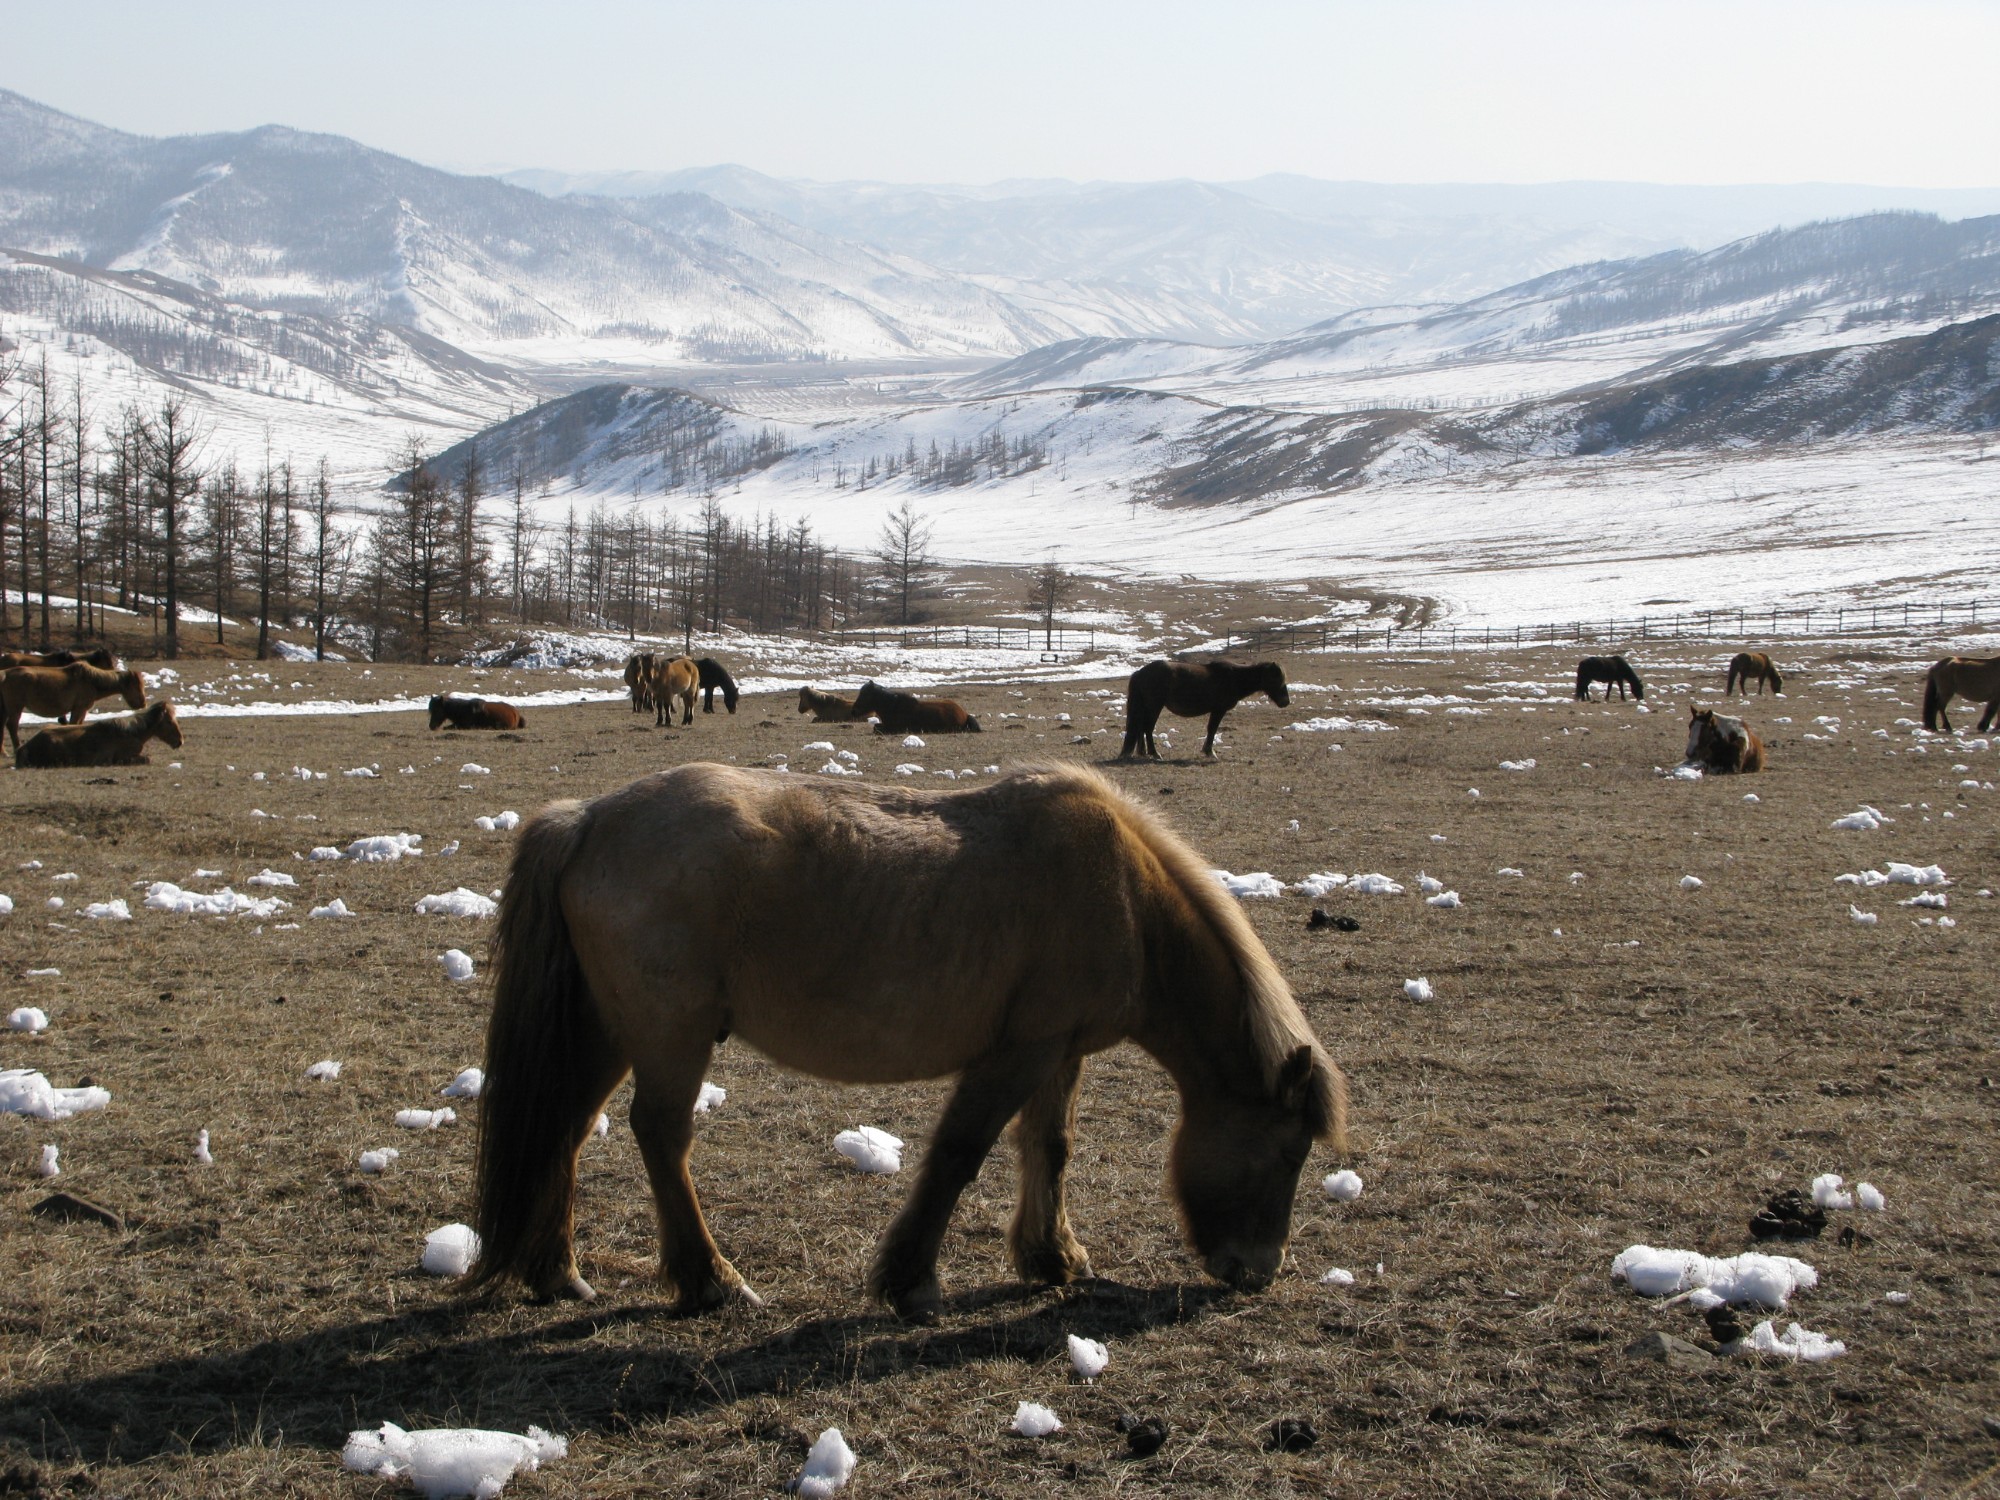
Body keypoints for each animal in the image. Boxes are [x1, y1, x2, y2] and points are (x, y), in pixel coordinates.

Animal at [1, 664, 147, 752]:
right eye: (135, 685)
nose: (143, 703)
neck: (92, 681)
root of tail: (4, 674)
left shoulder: (81, 711)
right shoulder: (79, 709)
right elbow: (73, 724)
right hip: (16, 707)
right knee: (12, 726)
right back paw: (17, 748)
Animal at [18, 704, 184, 776]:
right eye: (169, 722)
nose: (180, 741)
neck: (132, 734)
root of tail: (27, 746)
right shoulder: (122, 758)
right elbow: (148, 759)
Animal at [468, 768, 1344, 1320]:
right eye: (1289, 1150)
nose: (1256, 1271)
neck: (1126, 895)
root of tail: (590, 819)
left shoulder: (1059, 1050)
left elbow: (1048, 1147)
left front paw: (1052, 1258)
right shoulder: (1019, 1052)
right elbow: (960, 1153)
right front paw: (911, 1281)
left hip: (607, 1030)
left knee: (565, 1129)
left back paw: (557, 1274)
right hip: (669, 1034)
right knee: (660, 1136)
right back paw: (711, 1282)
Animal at [1120, 660, 1288, 764]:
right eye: (1276, 679)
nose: (1286, 701)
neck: (1233, 678)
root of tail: (1140, 672)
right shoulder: (1218, 710)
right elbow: (1212, 729)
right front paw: (1210, 752)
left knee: (1141, 728)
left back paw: (1142, 752)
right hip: (1154, 706)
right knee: (1148, 728)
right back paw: (1154, 753)